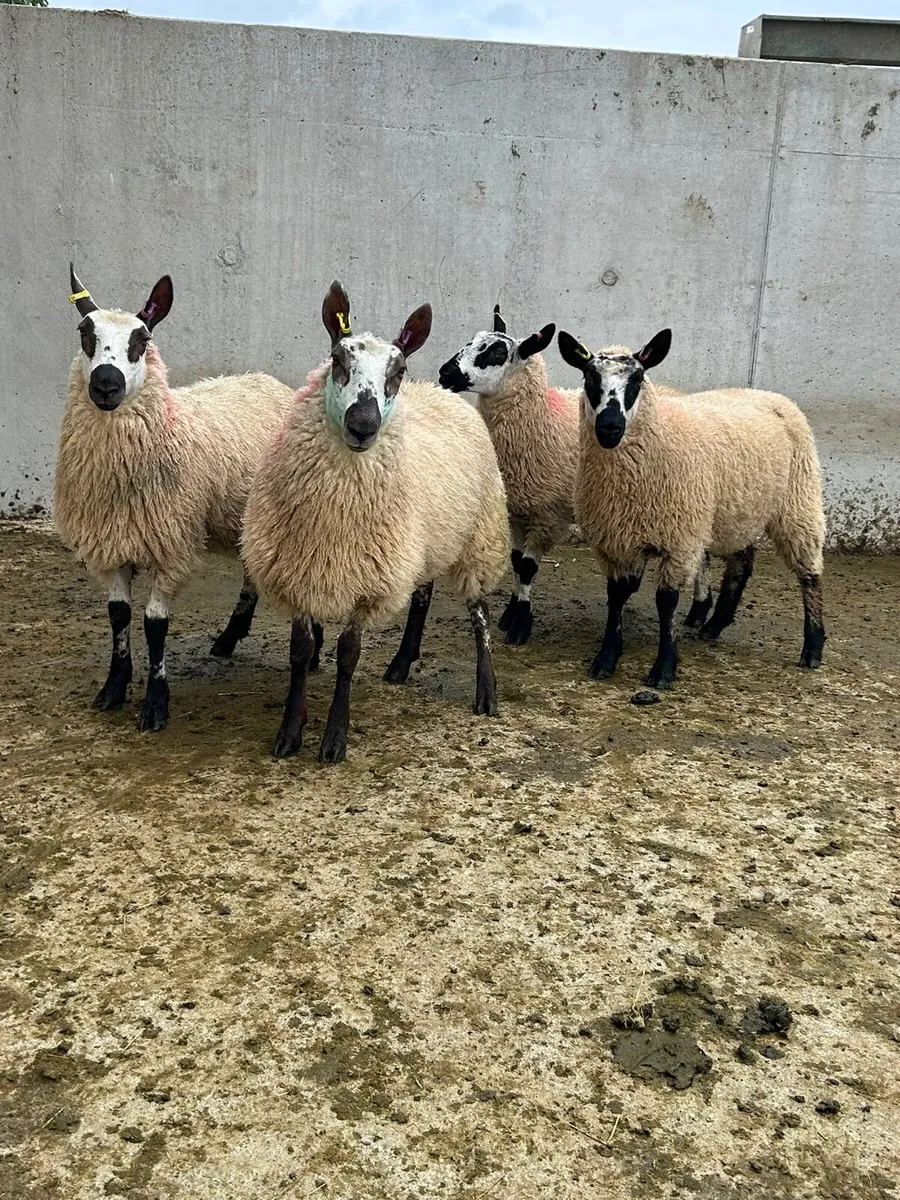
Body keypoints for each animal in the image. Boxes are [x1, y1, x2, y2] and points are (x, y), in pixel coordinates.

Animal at [55, 266, 316, 734]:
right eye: (85, 332)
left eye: (142, 339)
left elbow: (154, 625)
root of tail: (264, 380)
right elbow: (118, 616)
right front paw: (113, 688)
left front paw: (156, 704)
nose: (106, 385)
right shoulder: (112, 543)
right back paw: (230, 637)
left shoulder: (171, 545)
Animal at [241, 281, 510, 765]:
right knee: (422, 595)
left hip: (479, 538)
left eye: (398, 369)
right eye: (337, 359)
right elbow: (300, 652)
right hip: (425, 541)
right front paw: (290, 731)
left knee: (479, 613)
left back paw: (487, 690)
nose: (362, 425)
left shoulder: (370, 580)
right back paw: (402, 662)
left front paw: (334, 738)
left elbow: (348, 654)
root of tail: (440, 392)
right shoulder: (298, 569)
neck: (335, 512)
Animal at [556, 326, 826, 687]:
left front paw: (663, 668)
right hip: (738, 509)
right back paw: (714, 624)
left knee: (808, 571)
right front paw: (606, 658)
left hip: (798, 500)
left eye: (638, 379)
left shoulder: (679, 539)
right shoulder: (615, 540)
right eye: (589, 377)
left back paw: (813, 647)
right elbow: (616, 596)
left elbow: (666, 602)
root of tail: (768, 394)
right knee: (742, 563)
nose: (609, 427)